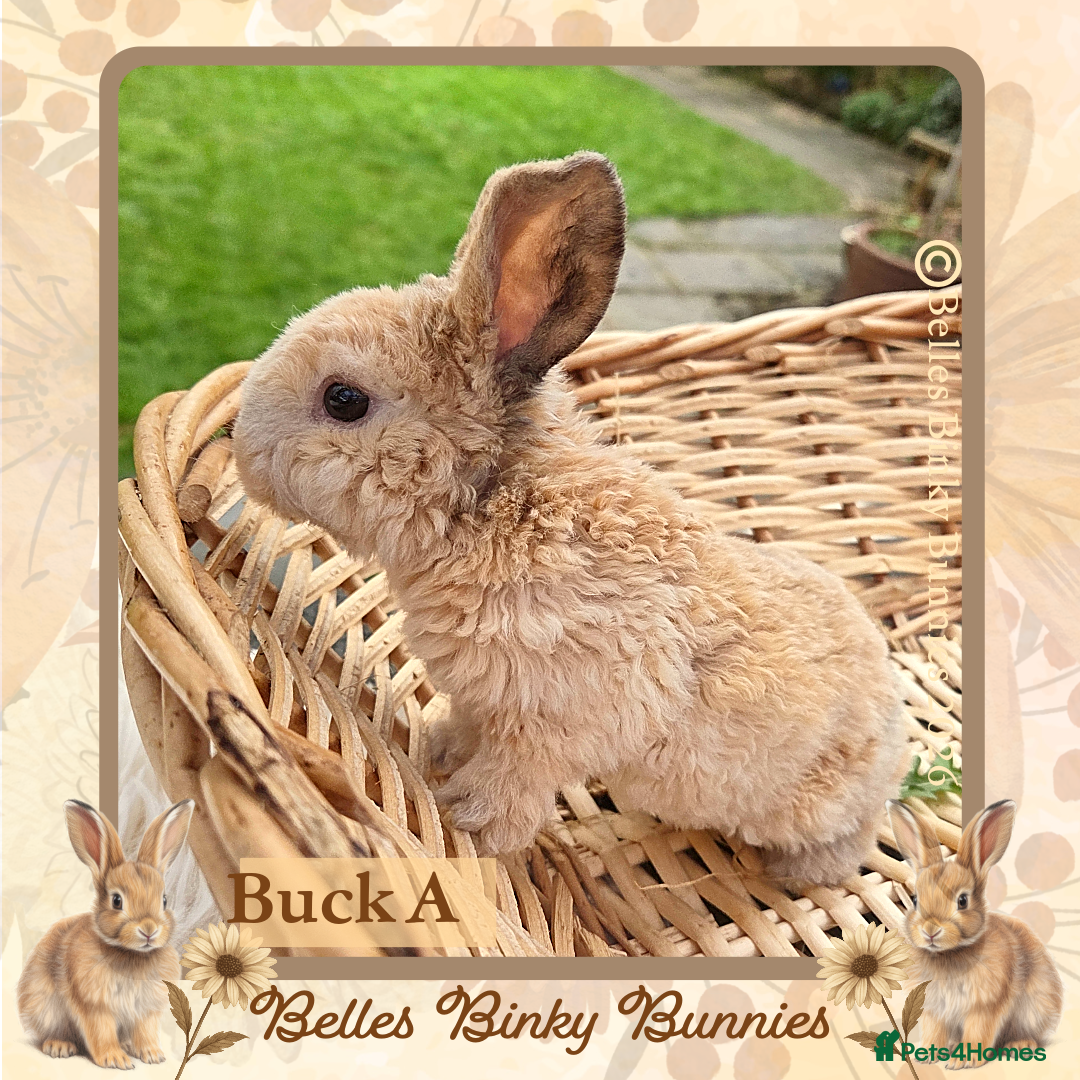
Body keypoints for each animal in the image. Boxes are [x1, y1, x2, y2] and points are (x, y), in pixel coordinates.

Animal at [17, 799, 195, 1068]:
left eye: (164, 900)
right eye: (117, 901)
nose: (149, 930)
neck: (131, 954)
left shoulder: (145, 1010)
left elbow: (145, 1031)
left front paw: (152, 1055)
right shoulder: (95, 1005)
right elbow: (101, 1031)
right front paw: (116, 1060)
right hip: (45, 1007)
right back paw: (59, 1046)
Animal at [232, 150, 906, 882]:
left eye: (344, 400)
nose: (240, 447)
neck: (494, 503)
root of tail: (894, 735)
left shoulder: (551, 727)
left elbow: (513, 783)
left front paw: (468, 822)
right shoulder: (480, 700)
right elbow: (465, 731)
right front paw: (435, 755)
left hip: (821, 809)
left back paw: (799, 874)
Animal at [886, 798, 1063, 1066]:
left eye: (962, 901)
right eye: (915, 900)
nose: (930, 931)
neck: (949, 954)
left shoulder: (984, 1006)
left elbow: (978, 1031)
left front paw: (963, 1061)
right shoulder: (935, 1009)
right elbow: (934, 1031)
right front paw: (926, 1056)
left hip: (1033, 1010)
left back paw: (1019, 1045)